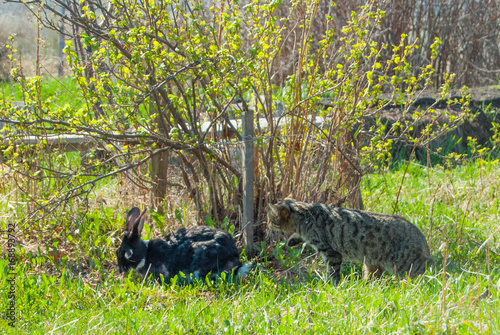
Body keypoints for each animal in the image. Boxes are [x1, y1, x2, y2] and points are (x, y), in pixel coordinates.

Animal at [268, 198, 432, 284]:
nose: (267, 224)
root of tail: (421, 237)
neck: (305, 216)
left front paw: (332, 285)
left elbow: (333, 272)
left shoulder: (331, 253)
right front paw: (292, 240)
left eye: (271, 220)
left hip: (405, 267)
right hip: (371, 264)